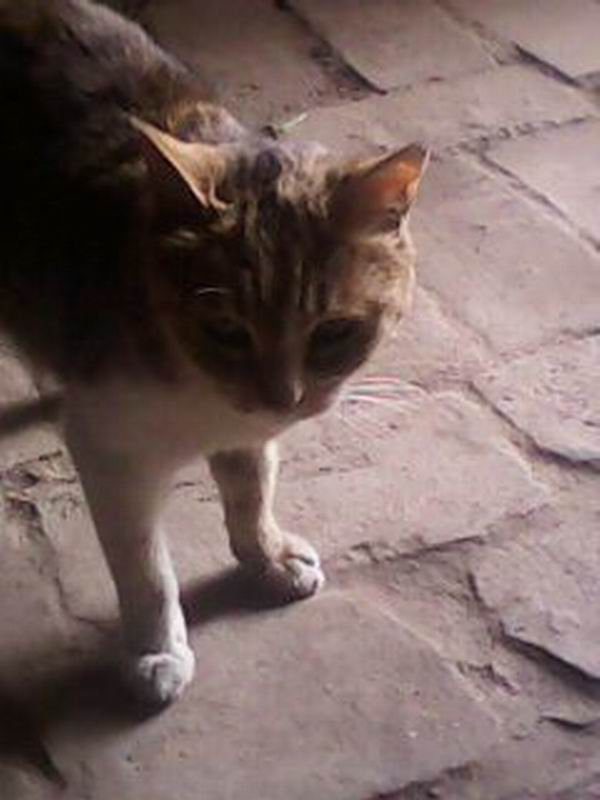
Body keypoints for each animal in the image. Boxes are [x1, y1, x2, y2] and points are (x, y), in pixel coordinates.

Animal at [0, 0, 428, 706]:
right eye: (226, 328)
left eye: (333, 333)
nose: (284, 397)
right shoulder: (110, 449)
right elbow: (145, 567)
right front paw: (157, 650)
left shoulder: (249, 432)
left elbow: (251, 490)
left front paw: (268, 555)